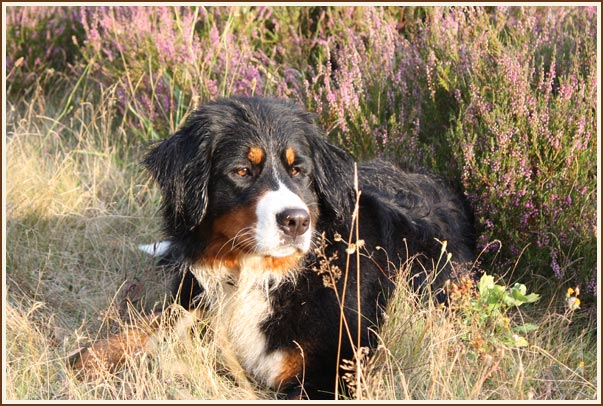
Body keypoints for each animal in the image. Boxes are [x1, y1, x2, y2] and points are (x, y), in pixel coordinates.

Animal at [71, 96, 476, 399]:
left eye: (299, 171)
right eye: (241, 171)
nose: (296, 221)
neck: (257, 274)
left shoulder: (334, 373)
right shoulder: (195, 302)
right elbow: (139, 329)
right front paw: (84, 360)